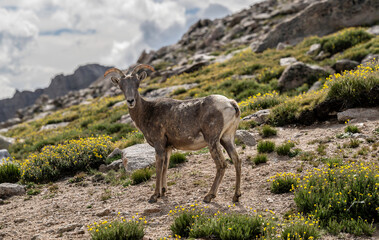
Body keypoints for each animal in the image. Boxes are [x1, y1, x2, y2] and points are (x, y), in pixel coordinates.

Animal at [104, 63, 240, 202]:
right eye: (121, 86)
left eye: (137, 83)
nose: (130, 101)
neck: (147, 112)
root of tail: (230, 103)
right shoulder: (168, 147)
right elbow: (165, 166)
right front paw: (163, 191)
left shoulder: (159, 144)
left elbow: (159, 168)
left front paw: (154, 196)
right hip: (227, 138)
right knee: (237, 160)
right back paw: (236, 196)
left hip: (212, 140)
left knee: (222, 165)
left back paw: (209, 196)